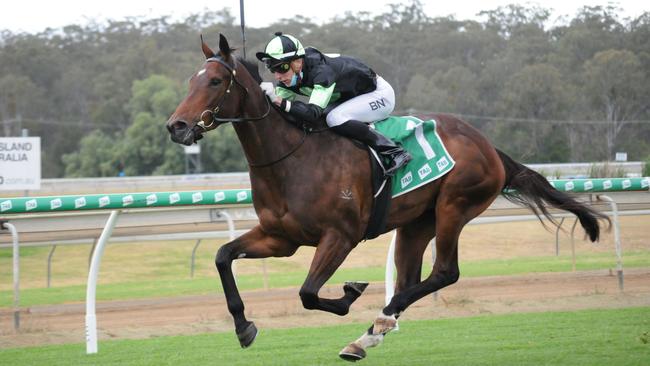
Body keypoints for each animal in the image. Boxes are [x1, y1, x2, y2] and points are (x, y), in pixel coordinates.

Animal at [163, 34, 608, 360]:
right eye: (190, 81)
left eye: (215, 81)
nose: (177, 126)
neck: (292, 159)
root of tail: (488, 146)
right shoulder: (281, 238)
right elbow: (223, 256)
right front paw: (244, 327)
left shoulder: (340, 236)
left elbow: (308, 293)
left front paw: (349, 293)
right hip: (416, 224)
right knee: (412, 278)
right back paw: (370, 333)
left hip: (454, 206)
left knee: (444, 273)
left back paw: (378, 323)